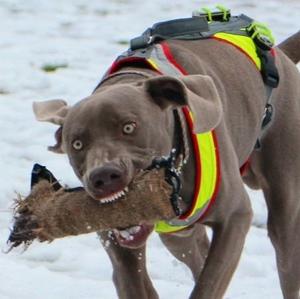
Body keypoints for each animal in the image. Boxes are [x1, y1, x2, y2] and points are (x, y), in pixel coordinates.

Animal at [32, 11, 300, 299]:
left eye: (129, 127)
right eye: (78, 144)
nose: (103, 176)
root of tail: (279, 54)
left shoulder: (235, 217)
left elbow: (208, 284)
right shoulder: (119, 243)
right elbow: (134, 281)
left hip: (284, 206)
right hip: (178, 237)